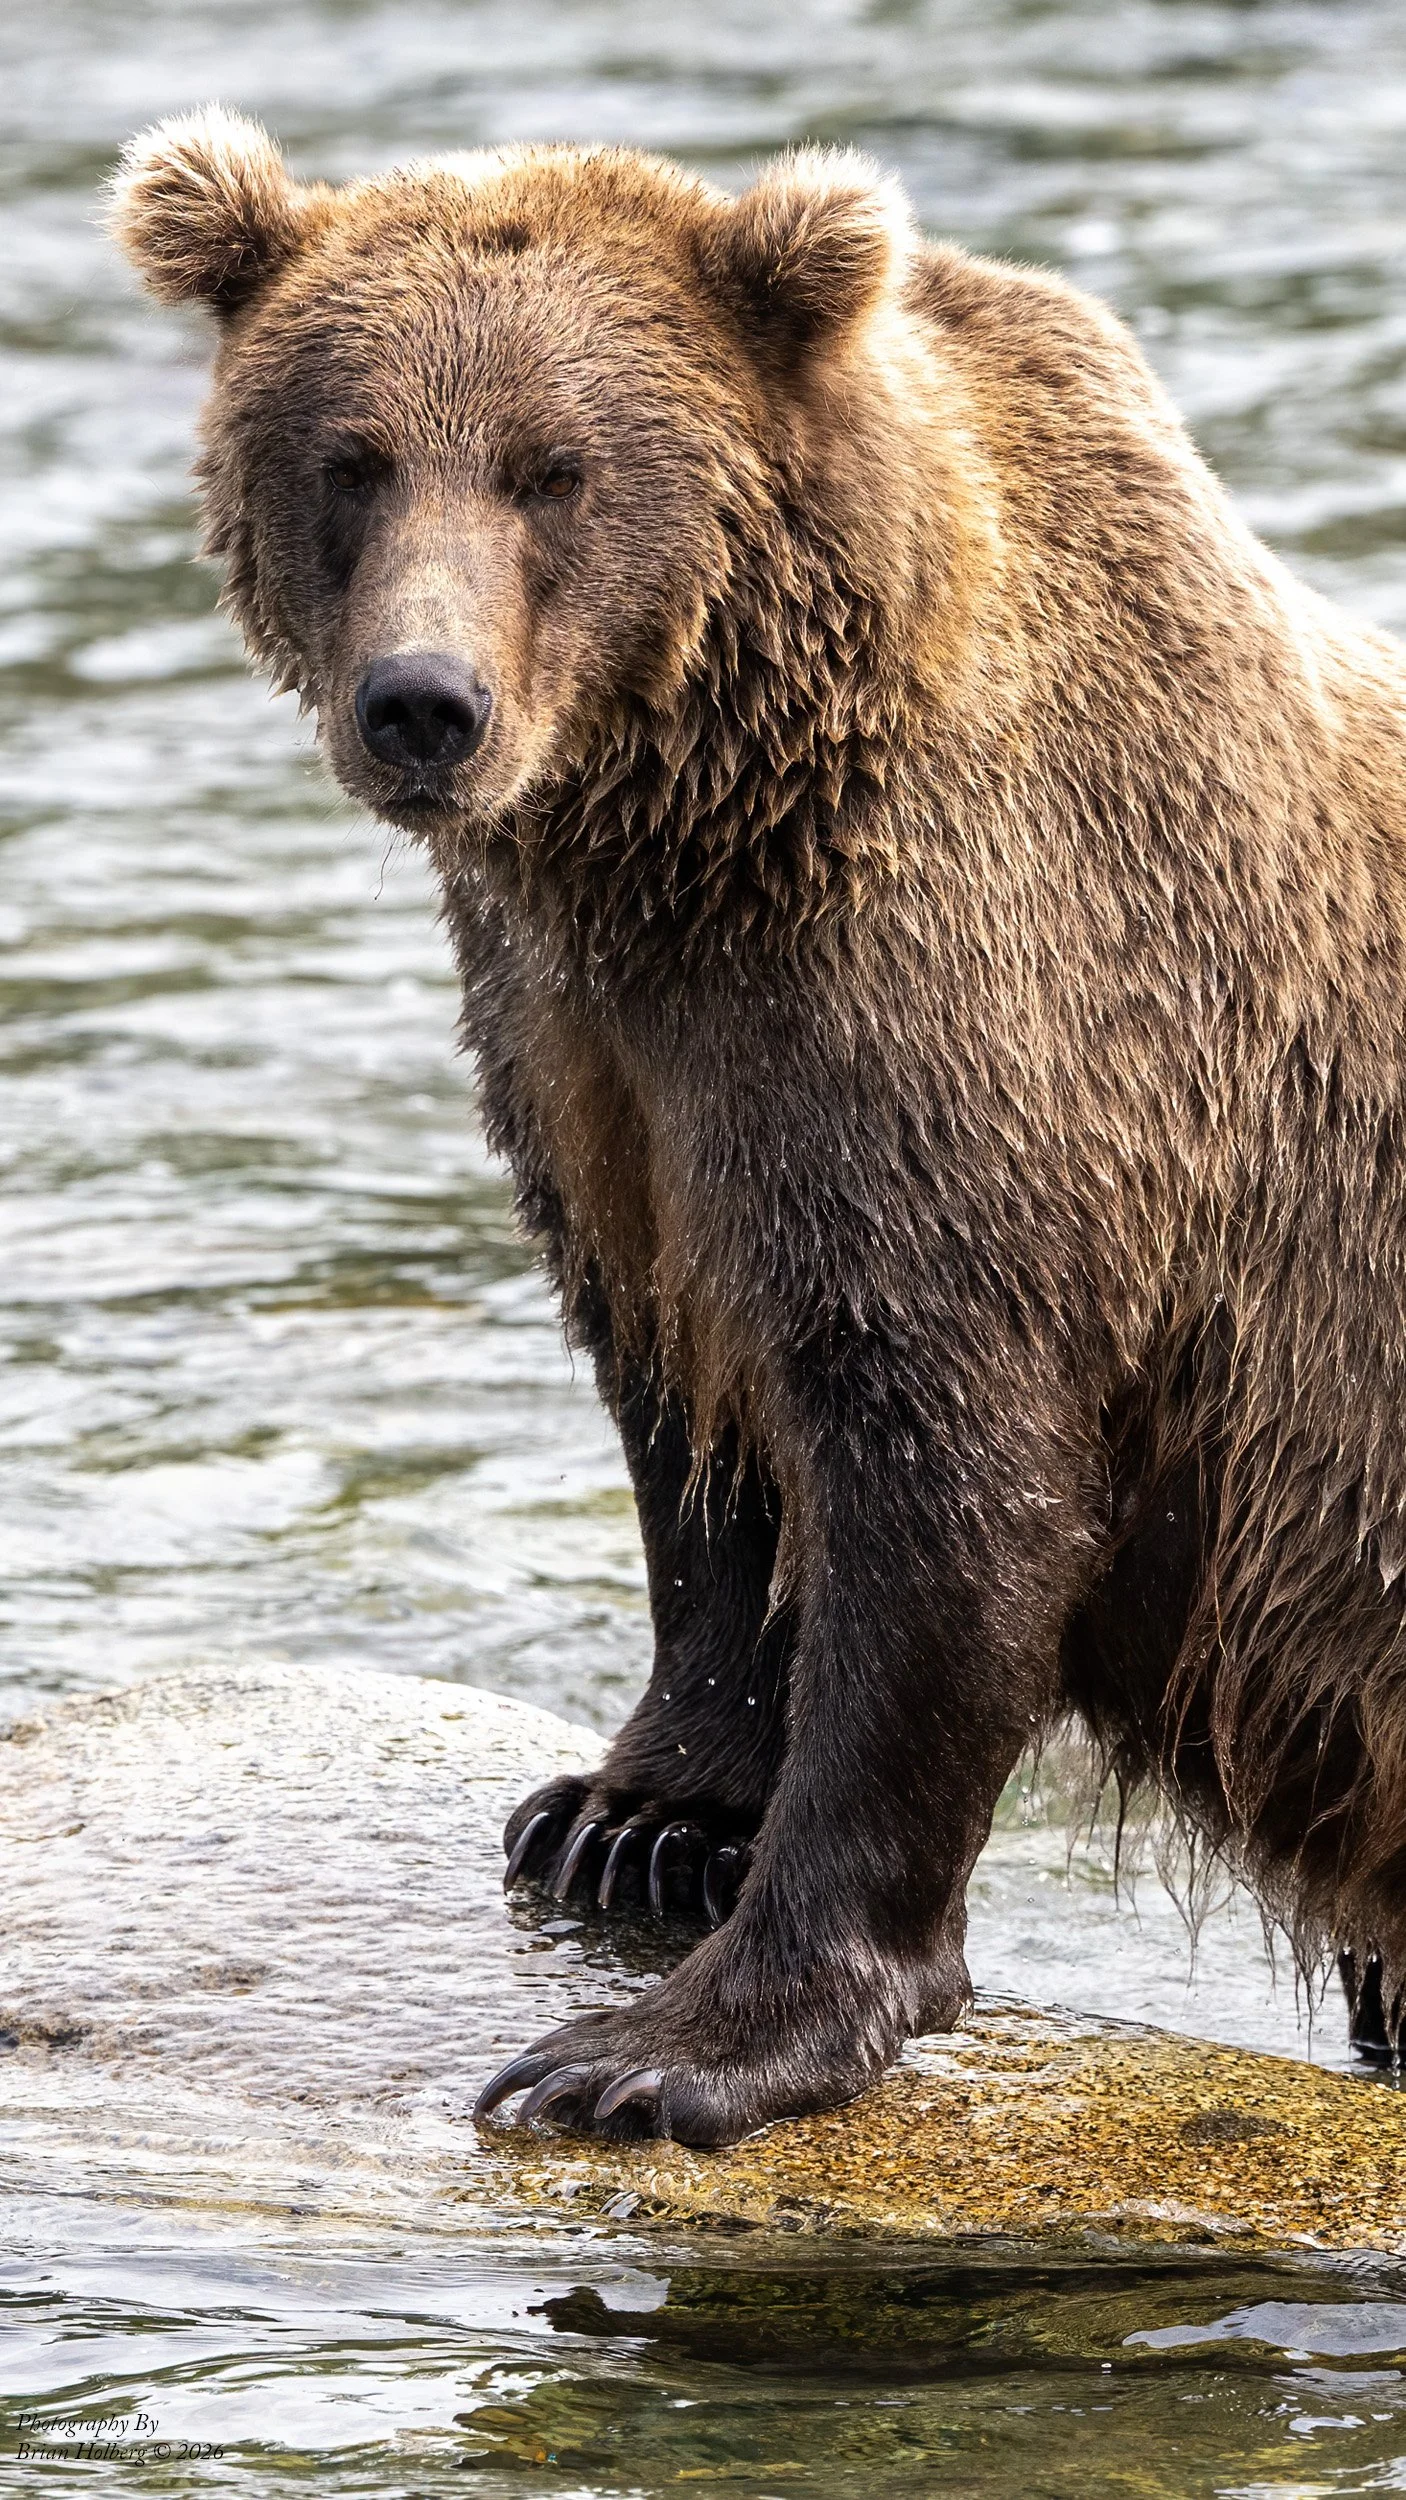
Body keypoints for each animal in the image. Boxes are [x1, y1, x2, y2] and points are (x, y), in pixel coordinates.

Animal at [110, 105, 1406, 2146]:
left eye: (553, 469)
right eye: (350, 458)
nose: (423, 705)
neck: (686, 833)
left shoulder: (964, 1030)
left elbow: (942, 1474)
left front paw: (663, 2047)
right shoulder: (593, 1067)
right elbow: (692, 1422)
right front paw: (631, 1815)